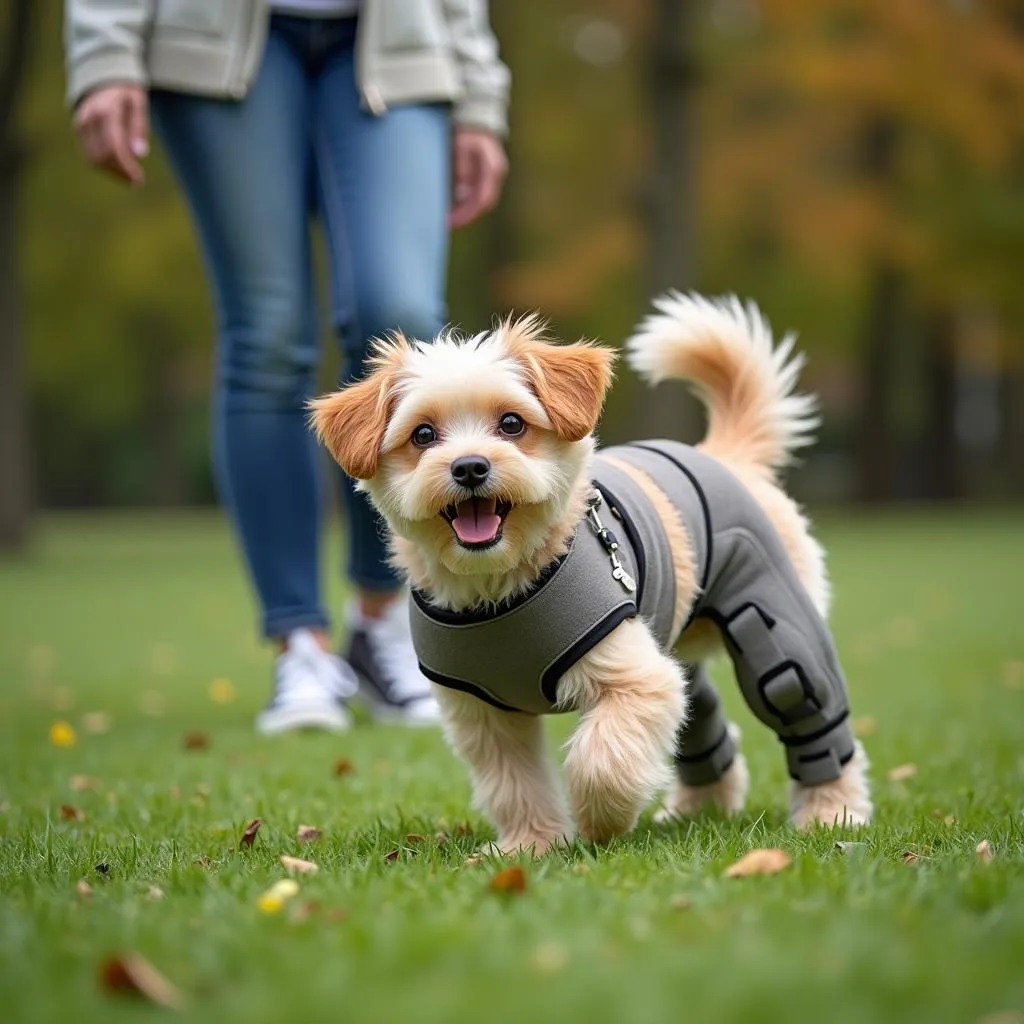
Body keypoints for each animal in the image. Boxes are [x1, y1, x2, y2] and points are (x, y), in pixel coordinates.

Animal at [309, 292, 872, 851]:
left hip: (773, 615)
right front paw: (530, 844)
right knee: (704, 716)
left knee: (806, 706)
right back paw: (701, 807)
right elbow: (514, 783)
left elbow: (603, 759)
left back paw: (831, 812)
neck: (500, 588)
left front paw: (602, 823)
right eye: (423, 434)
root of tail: (722, 456)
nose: (469, 467)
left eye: (511, 424)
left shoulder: (634, 677)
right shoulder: (482, 714)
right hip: (675, 638)